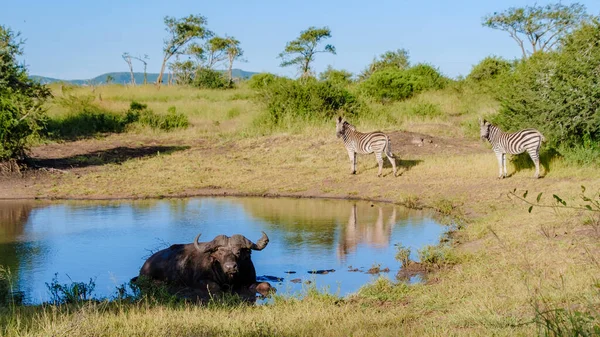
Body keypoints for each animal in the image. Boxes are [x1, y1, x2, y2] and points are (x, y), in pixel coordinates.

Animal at [135, 232, 274, 300]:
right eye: (220, 252)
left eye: (238, 252)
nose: (231, 267)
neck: (229, 279)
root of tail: (145, 265)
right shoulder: (200, 281)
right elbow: (215, 287)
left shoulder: (249, 280)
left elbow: (265, 285)